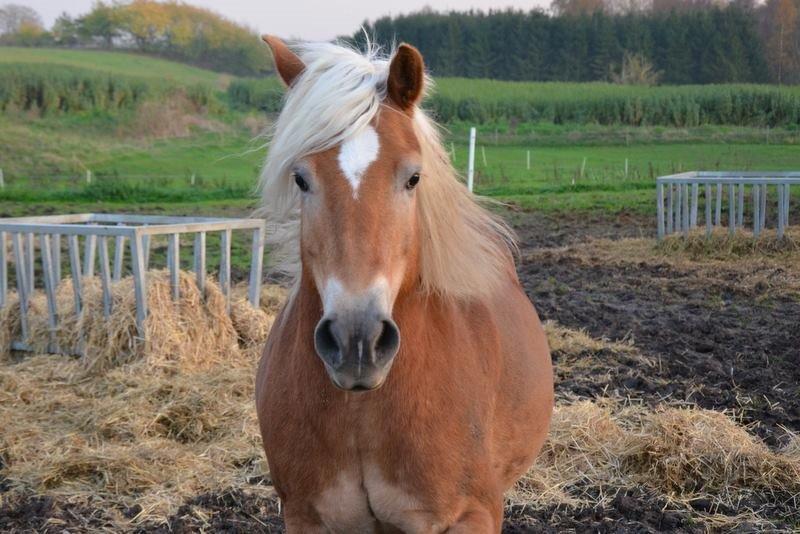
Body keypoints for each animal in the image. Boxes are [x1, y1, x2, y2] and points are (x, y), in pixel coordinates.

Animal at [256, 35, 556, 532]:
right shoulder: (303, 515)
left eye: (413, 177)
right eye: (301, 179)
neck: (363, 413)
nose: (356, 341)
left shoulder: (472, 514)